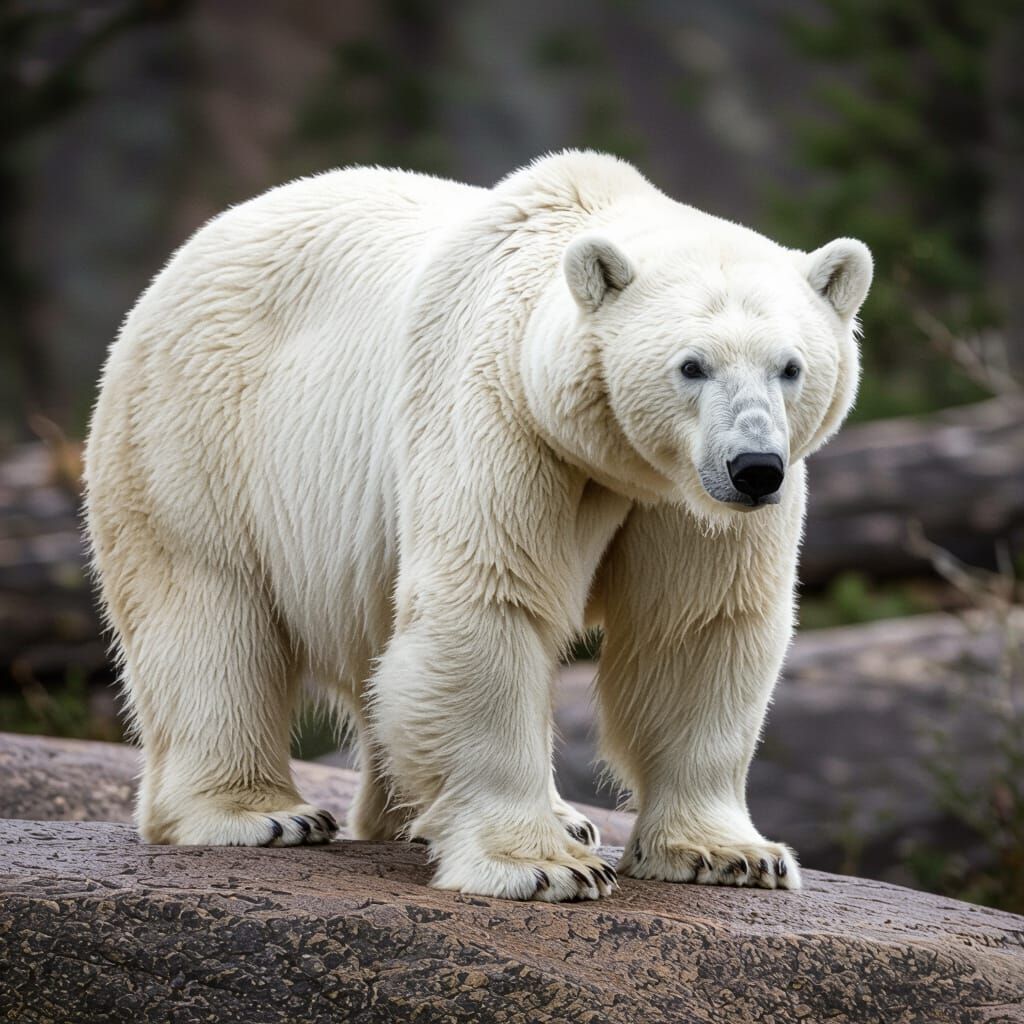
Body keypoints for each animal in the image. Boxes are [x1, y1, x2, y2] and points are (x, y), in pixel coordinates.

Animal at [84, 150, 872, 902]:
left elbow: (696, 625)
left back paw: (520, 816)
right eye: (691, 366)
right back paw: (264, 814)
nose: (754, 468)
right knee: (207, 612)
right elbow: (488, 598)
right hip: (198, 429)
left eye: (790, 366)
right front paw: (543, 867)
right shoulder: (502, 414)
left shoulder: (683, 501)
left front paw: (730, 855)